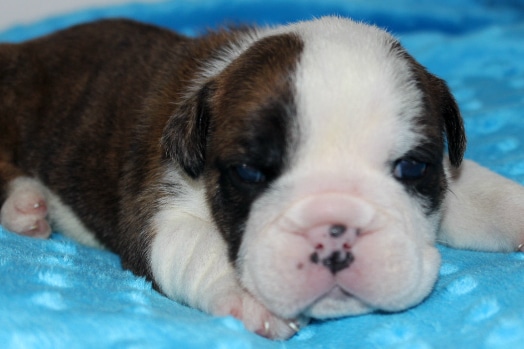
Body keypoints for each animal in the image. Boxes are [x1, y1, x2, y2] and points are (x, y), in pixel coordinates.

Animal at [1, 15, 524, 338]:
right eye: (249, 172)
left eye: (411, 167)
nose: (333, 229)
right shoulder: (159, 211)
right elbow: (199, 249)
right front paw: (250, 298)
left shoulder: (450, 176)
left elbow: (481, 193)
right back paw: (25, 206)